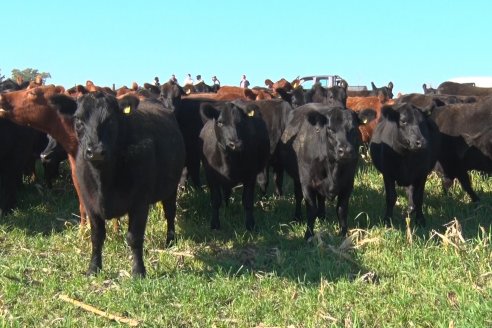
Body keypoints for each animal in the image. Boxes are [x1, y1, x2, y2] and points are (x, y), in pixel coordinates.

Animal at [53, 92, 184, 276]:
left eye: (111, 120)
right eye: (78, 119)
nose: (96, 151)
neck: (104, 181)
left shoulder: (140, 203)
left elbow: (134, 237)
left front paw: (138, 271)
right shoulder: (90, 204)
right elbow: (96, 237)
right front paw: (93, 268)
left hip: (171, 188)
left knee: (170, 213)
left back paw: (170, 241)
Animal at [199, 100, 270, 231]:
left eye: (241, 122)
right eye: (220, 122)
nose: (235, 144)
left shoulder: (250, 175)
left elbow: (247, 201)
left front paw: (250, 224)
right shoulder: (210, 175)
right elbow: (215, 200)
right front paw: (215, 225)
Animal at [278, 104, 368, 240]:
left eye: (353, 128)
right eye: (330, 129)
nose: (345, 151)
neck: (333, 168)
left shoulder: (348, 184)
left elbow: (341, 209)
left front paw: (344, 233)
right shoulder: (307, 183)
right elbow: (311, 210)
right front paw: (308, 235)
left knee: (321, 198)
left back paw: (322, 217)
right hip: (297, 178)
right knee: (298, 196)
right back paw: (297, 217)